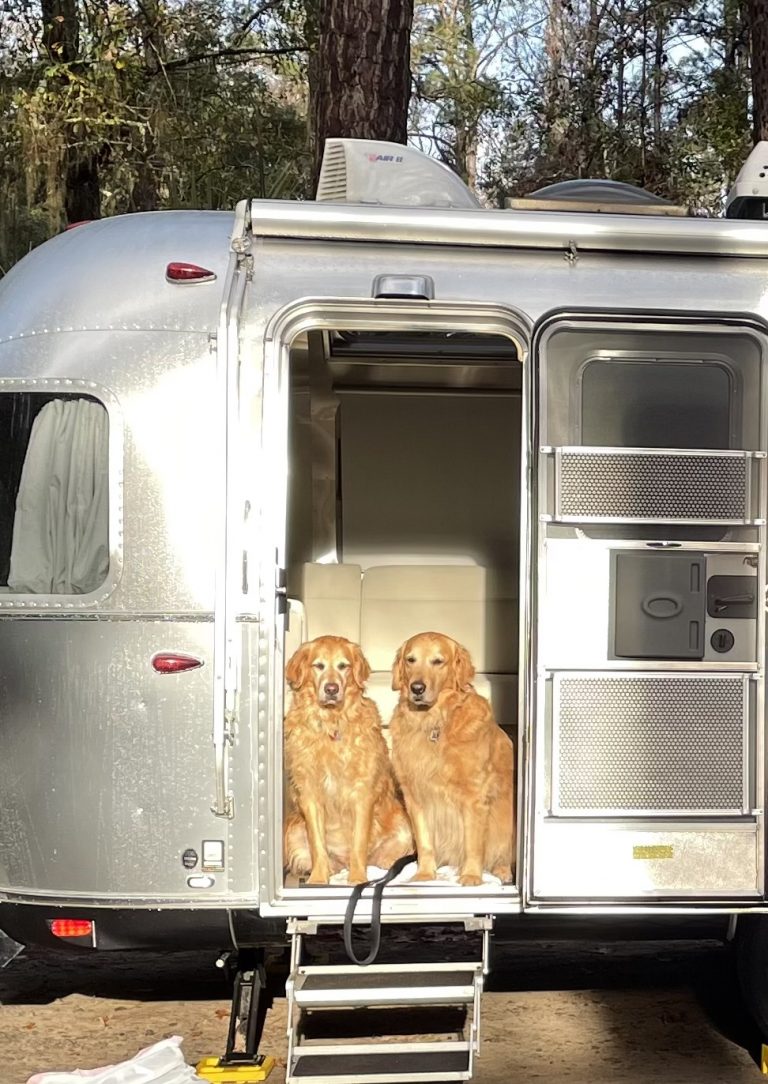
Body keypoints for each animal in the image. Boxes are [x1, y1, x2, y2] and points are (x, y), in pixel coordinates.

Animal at [283, 635, 413, 885]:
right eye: (318, 665)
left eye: (344, 666)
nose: (331, 689)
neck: (332, 724)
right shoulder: (310, 794)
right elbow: (317, 845)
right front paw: (318, 878)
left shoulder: (362, 793)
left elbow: (358, 844)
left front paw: (357, 879)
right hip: (293, 830)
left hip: (403, 826)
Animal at [389, 631, 515, 886]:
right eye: (410, 660)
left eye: (438, 661)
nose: (417, 688)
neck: (434, 723)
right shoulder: (416, 797)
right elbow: (425, 843)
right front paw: (425, 874)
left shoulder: (474, 796)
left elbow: (473, 844)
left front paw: (471, 875)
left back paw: (502, 870)